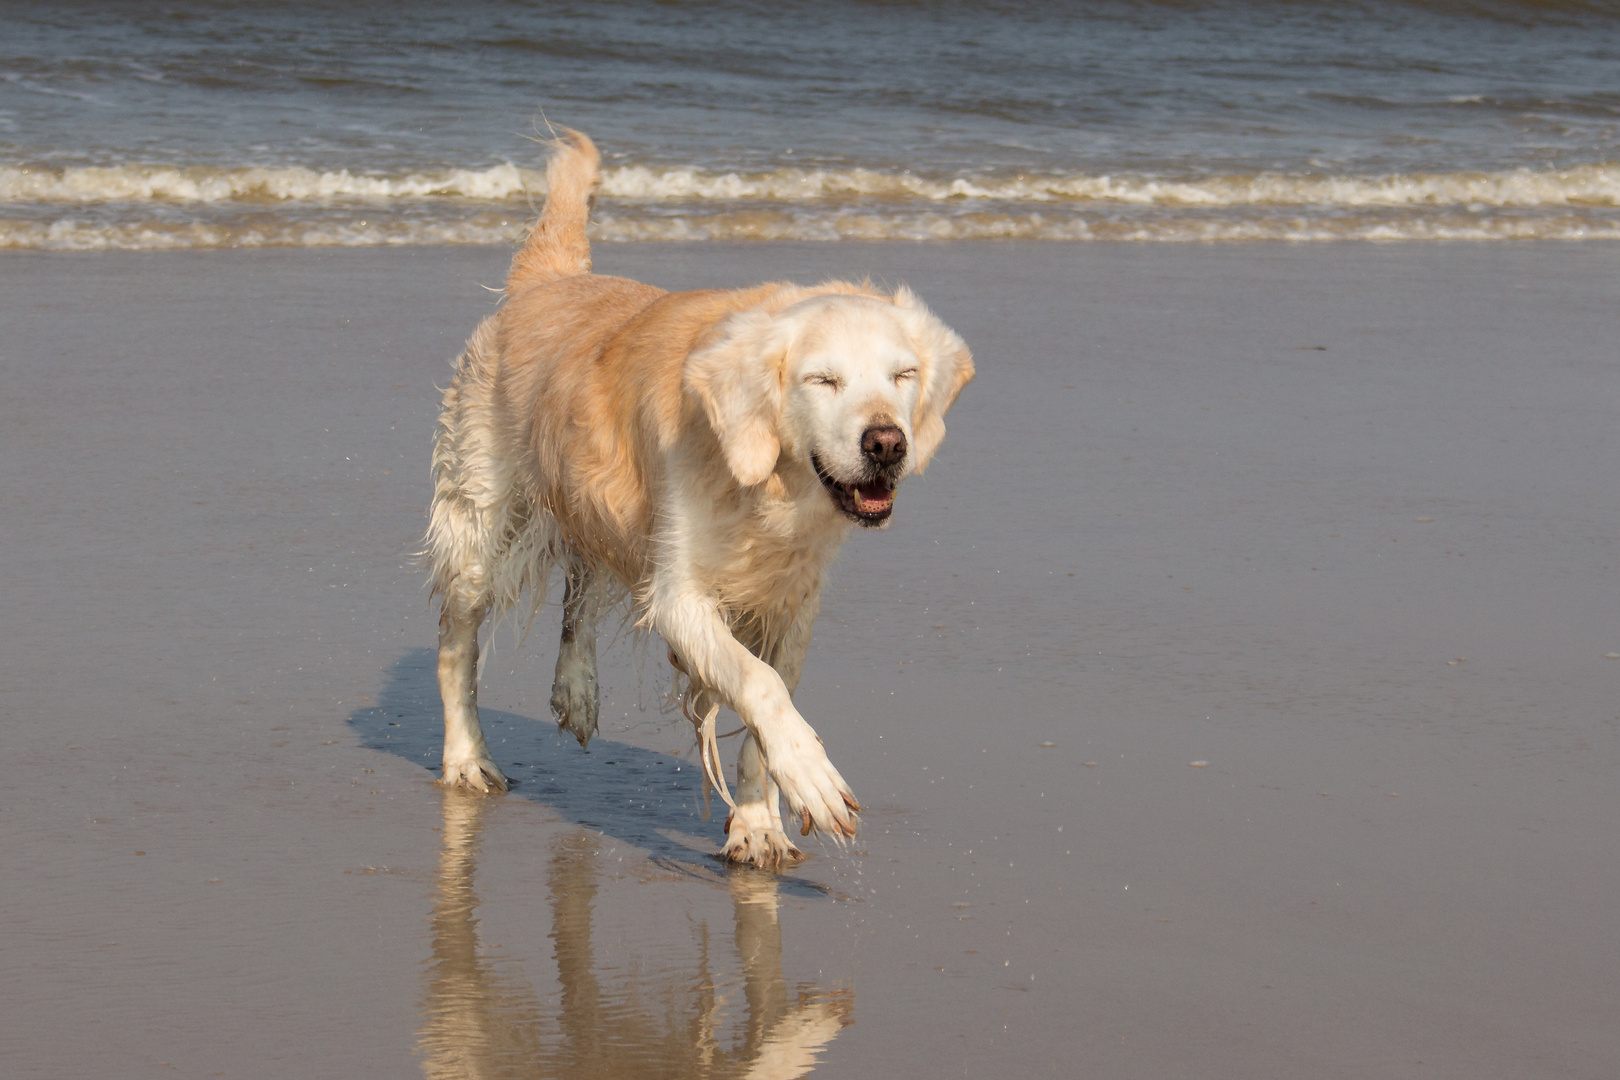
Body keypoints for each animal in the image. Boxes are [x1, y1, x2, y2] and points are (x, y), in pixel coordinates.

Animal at [424, 128, 965, 867]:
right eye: (822, 380)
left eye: (904, 374)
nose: (887, 443)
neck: (767, 487)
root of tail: (550, 280)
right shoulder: (680, 594)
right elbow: (758, 682)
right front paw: (812, 777)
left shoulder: (792, 599)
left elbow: (764, 705)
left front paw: (758, 822)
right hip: (483, 516)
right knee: (458, 642)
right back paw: (466, 757)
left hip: (593, 498)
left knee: (583, 578)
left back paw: (577, 688)